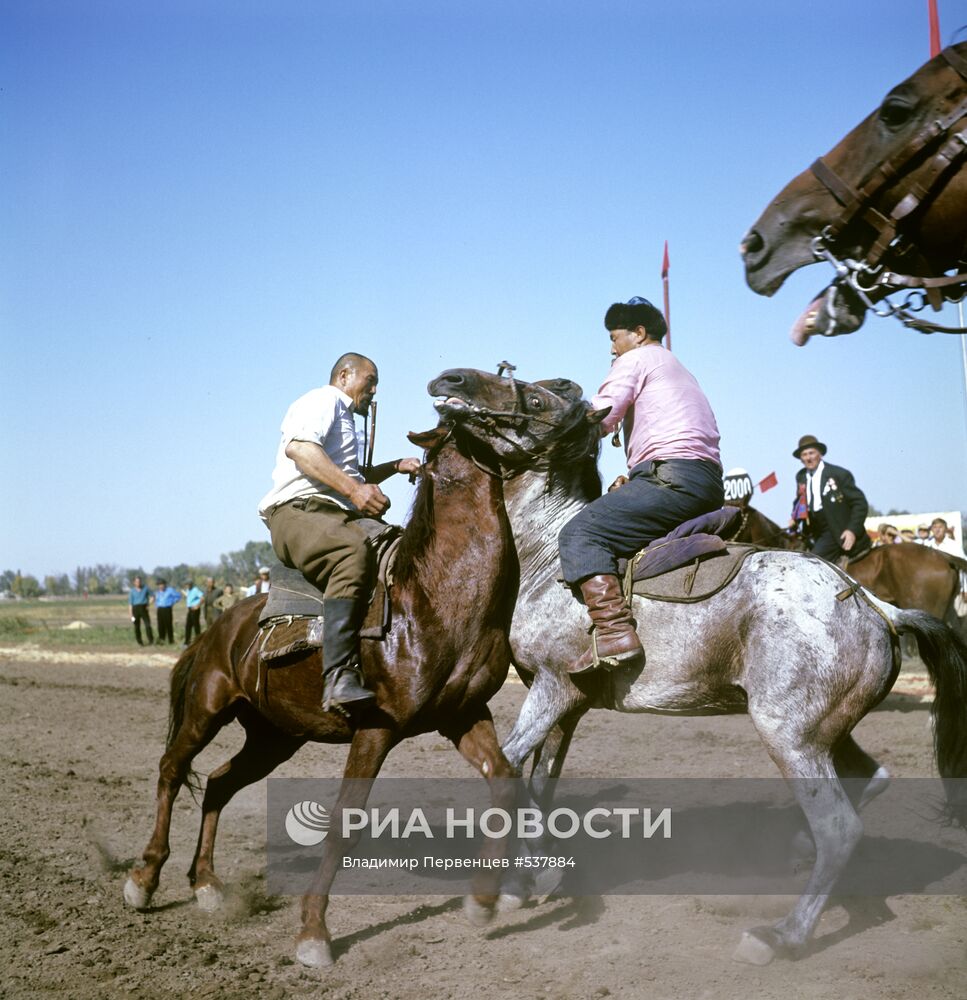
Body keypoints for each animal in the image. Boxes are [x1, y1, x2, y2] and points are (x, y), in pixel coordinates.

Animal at [122, 408, 532, 968]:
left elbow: (505, 782)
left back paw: (206, 883)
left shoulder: (462, 716)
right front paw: (314, 932)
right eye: (484, 413)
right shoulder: (377, 728)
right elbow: (345, 820)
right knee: (171, 769)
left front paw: (484, 900)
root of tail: (217, 627)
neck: (433, 595)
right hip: (207, 710)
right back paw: (144, 879)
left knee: (219, 784)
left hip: (274, 736)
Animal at [430, 370, 967, 968]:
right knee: (871, 780)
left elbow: (506, 768)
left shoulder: (553, 688)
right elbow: (537, 786)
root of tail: (878, 607)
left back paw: (781, 935)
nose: (451, 380)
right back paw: (797, 854)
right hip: (827, 731)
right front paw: (531, 875)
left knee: (839, 828)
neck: (550, 558)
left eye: (536, 397)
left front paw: (496, 894)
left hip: (789, 736)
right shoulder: (566, 705)